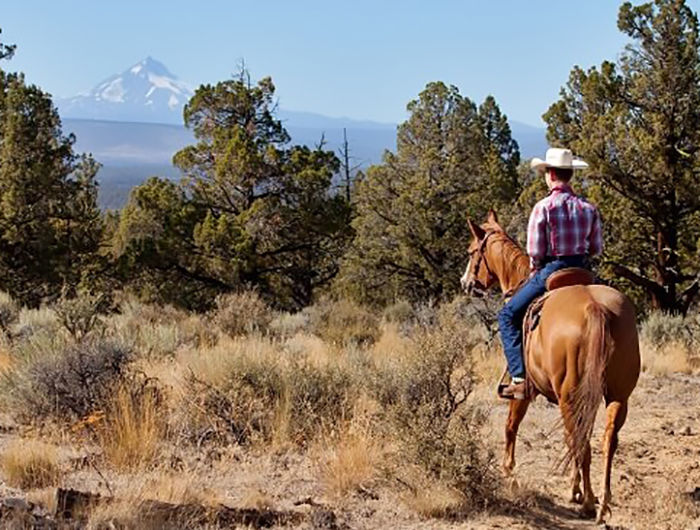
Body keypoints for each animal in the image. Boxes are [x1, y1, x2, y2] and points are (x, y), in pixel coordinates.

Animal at [460, 209, 640, 520]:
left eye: (472, 251)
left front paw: (509, 472)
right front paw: (576, 487)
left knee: (580, 440)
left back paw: (588, 502)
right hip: (617, 396)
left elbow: (510, 426)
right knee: (604, 440)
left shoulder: (523, 392)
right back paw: (602, 502)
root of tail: (595, 308)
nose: (465, 282)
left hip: (571, 396)